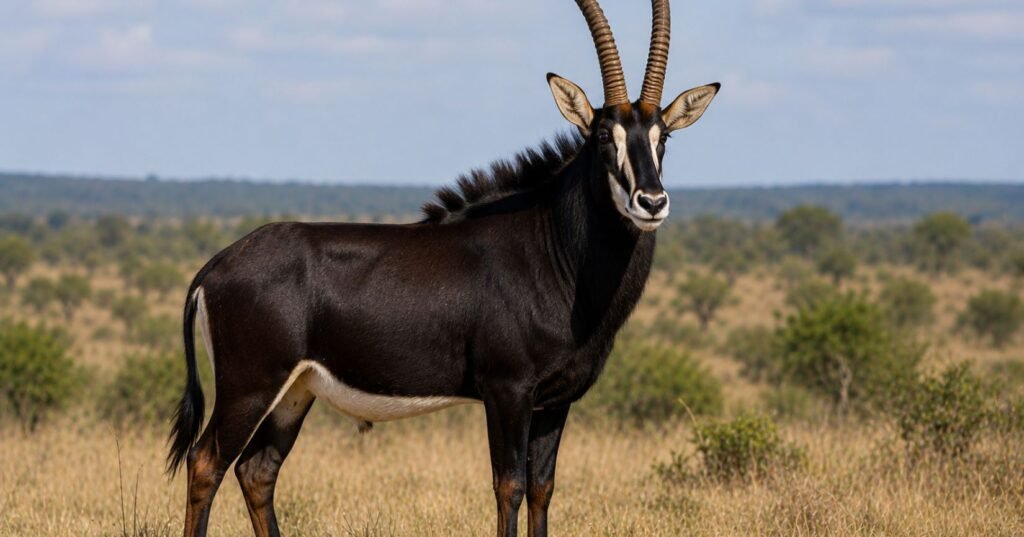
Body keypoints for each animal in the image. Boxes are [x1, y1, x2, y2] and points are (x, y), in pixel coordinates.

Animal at [167, 1, 719, 535]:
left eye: (663, 135)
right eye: (604, 134)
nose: (651, 202)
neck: (555, 250)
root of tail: (215, 266)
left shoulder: (554, 403)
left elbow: (542, 490)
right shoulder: (507, 391)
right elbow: (510, 486)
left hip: (294, 392)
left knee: (257, 470)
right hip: (250, 387)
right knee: (206, 463)